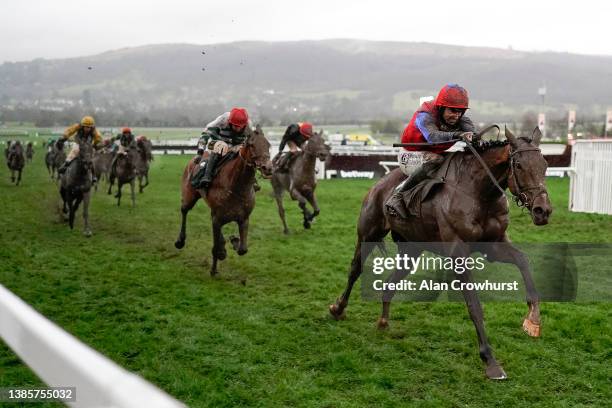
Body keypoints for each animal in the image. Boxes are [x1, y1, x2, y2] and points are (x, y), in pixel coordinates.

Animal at [173, 107, 272, 276]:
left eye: (268, 145)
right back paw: (180, 240)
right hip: (189, 196)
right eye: (252, 145)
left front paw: (233, 241)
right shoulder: (217, 217)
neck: (237, 187)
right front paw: (215, 267)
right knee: (184, 211)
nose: (268, 168)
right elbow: (215, 248)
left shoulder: (243, 218)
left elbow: (242, 249)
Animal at [330, 126, 556, 380]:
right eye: (518, 165)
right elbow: (474, 306)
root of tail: (379, 185)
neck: (479, 192)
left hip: (412, 249)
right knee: (355, 269)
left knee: (390, 282)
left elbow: (522, 260)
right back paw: (338, 308)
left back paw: (383, 321)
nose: (542, 211)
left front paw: (533, 318)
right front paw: (490, 360)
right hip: (368, 234)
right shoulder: (458, 254)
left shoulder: (495, 244)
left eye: (545, 164)